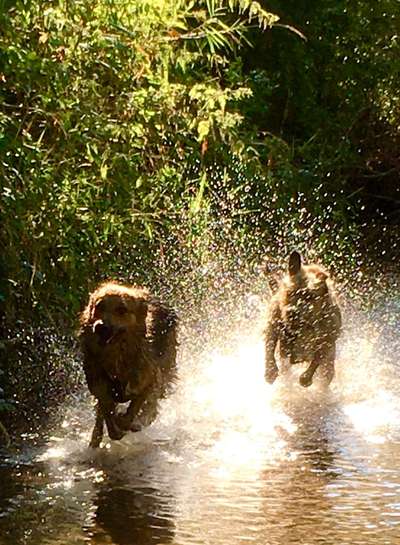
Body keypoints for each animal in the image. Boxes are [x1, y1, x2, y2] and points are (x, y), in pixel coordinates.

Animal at [78, 280, 177, 446]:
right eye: (99, 306)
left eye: (121, 310)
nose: (100, 327)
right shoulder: (100, 387)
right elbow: (107, 414)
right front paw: (115, 427)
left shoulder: (149, 382)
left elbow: (133, 410)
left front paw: (127, 422)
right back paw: (95, 440)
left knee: (151, 405)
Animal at [264, 251, 342, 386]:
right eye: (290, 292)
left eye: (308, 296)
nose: (291, 312)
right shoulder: (273, 323)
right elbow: (269, 345)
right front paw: (270, 370)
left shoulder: (328, 340)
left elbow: (317, 359)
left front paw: (306, 378)